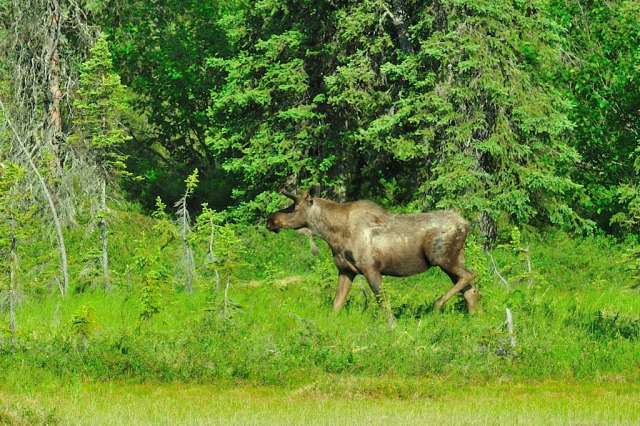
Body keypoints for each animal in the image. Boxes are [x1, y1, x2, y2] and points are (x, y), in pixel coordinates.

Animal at [266, 190, 480, 317]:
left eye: (294, 206)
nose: (270, 220)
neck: (332, 235)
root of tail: (467, 224)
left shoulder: (371, 269)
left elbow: (383, 302)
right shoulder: (346, 270)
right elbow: (336, 304)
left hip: (442, 258)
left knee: (470, 275)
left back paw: (437, 304)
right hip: (454, 259)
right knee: (470, 290)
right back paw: (474, 318)